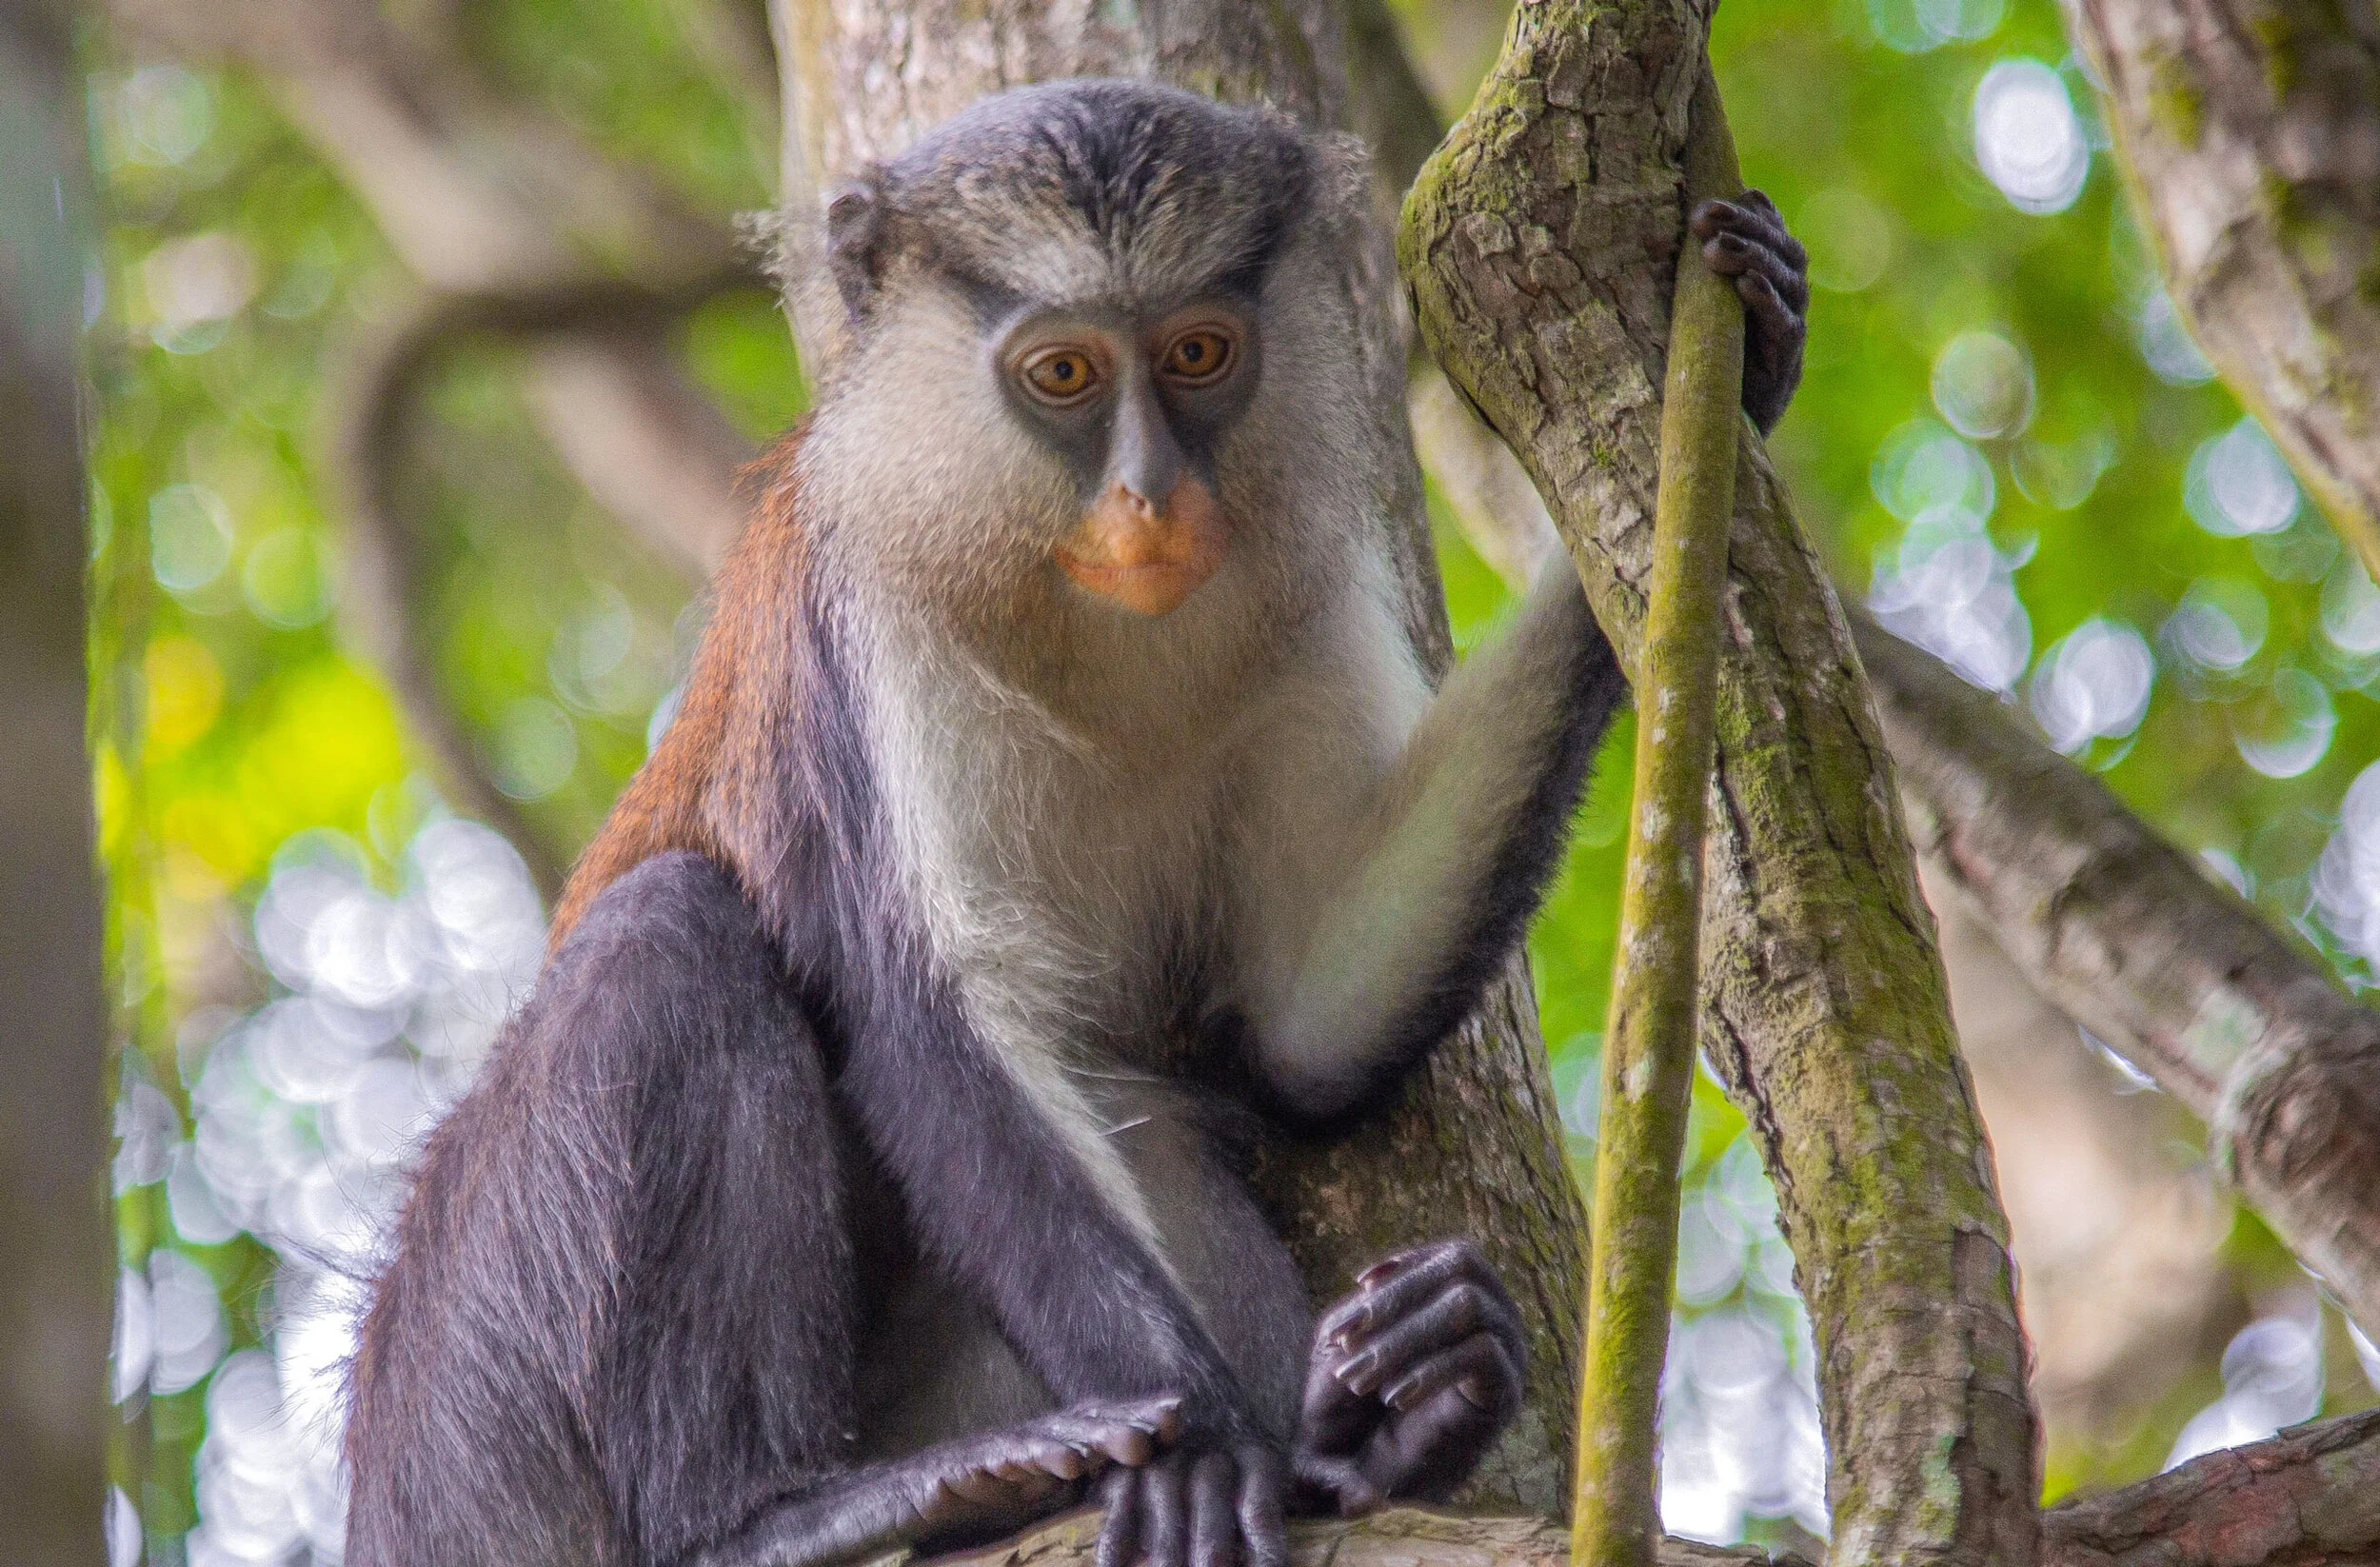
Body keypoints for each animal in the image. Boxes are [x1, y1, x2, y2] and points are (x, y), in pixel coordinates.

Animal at [342, 79, 1809, 1567]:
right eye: (1062, 375)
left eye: (1198, 353)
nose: (1148, 497)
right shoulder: (855, 618)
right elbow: (936, 1022)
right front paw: (1206, 1448)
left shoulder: (1306, 599)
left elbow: (1306, 1019)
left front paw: (1734, 372)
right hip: (480, 1425)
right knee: (668, 939)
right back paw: (776, 1513)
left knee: (1141, 1113)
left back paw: (1382, 1419)